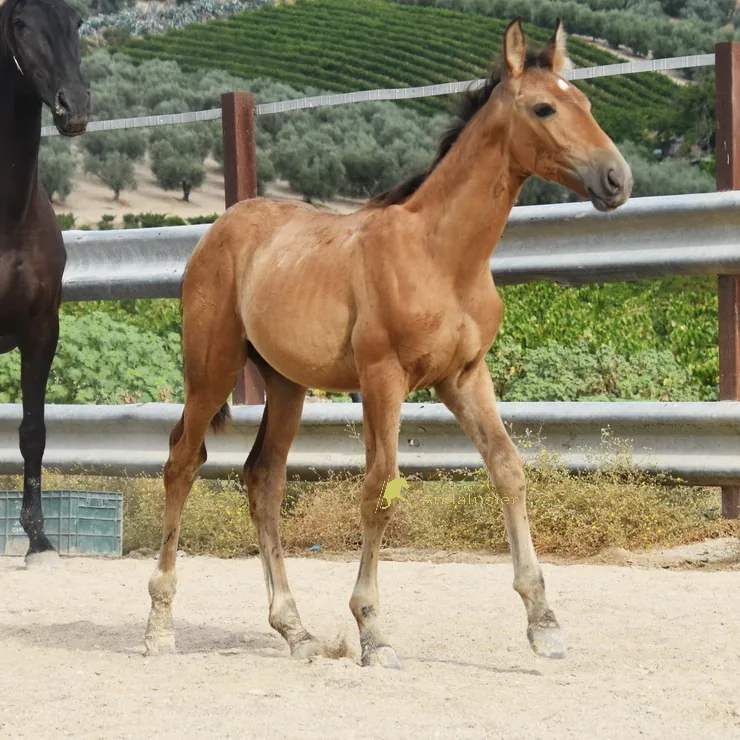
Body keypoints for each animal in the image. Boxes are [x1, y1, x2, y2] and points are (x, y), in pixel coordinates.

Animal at [144, 19, 632, 667]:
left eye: (588, 103)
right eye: (544, 107)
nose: (617, 179)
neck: (440, 257)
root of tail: (221, 227)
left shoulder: (465, 376)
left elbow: (507, 469)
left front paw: (544, 624)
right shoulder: (383, 377)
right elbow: (380, 488)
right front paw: (373, 632)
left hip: (287, 383)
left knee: (263, 478)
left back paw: (295, 630)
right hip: (212, 367)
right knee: (182, 462)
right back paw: (159, 625)